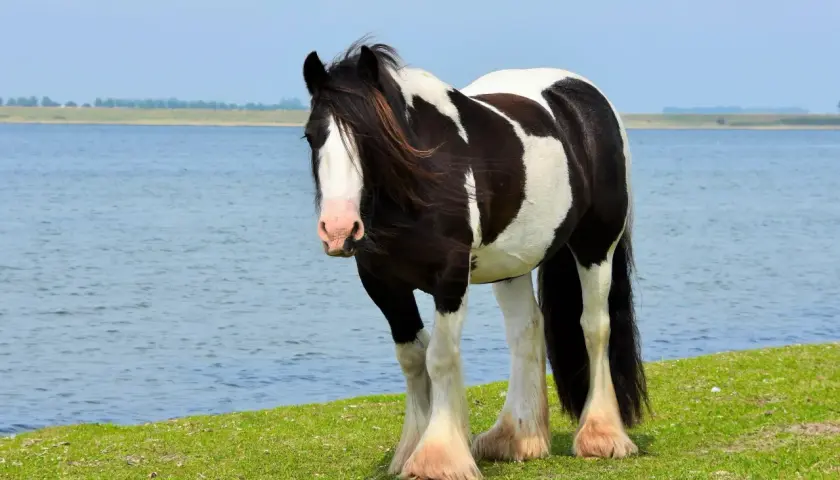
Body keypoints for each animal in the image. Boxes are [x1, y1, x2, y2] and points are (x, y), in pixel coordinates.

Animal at [300, 39, 649, 480]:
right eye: (310, 136)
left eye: (369, 136)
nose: (338, 229)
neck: (422, 176)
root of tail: (584, 98)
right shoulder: (382, 283)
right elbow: (412, 358)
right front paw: (412, 448)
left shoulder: (450, 278)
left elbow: (439, 358)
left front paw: (438, 457)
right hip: (512, 263)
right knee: (527, 330)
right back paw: (515, 438)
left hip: (596, 246)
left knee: (594, 326)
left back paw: (601, 436)